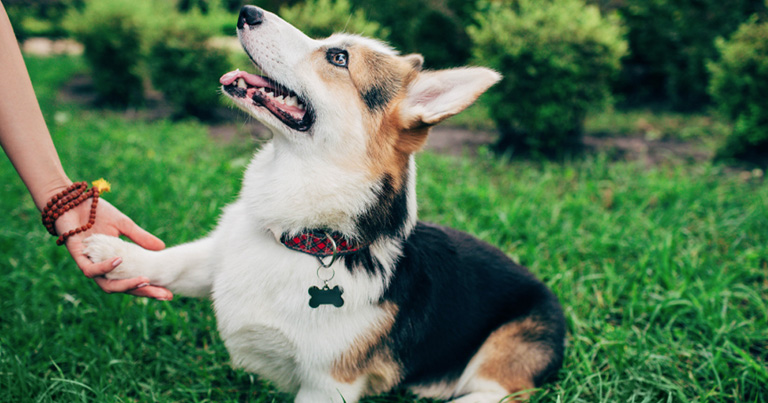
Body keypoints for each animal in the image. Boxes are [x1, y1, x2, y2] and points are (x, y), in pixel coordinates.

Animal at [84, 6, 568, 403]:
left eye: (337, 58)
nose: (247, 11)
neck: (302, 237)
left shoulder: (327, 384)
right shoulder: (216, 257)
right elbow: (170, 261)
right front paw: (108, 250)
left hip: (508, 347)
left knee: (496, 392)